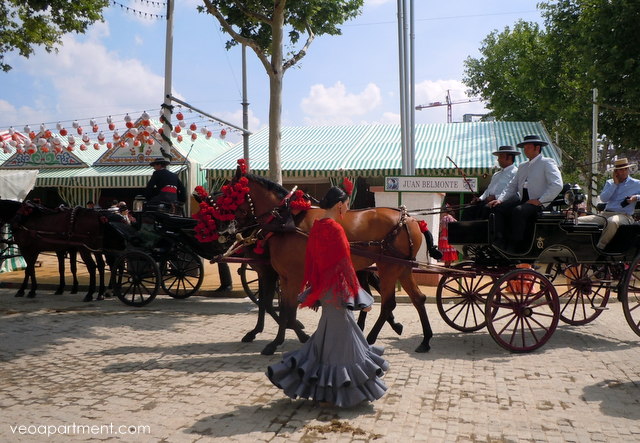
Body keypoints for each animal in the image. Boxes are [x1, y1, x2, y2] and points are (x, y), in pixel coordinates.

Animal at [208, 172, 438, 356]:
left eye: (229, 194)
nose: (223, 229)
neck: (286, 221)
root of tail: (410, 219)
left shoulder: (292, 275)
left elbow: (288, 309)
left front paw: (287, 339)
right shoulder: (282, 276)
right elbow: (282, 307)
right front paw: (279, 339)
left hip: (389, 267)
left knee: (388, 303)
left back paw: (371, 338)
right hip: (402, 267)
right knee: (418, 298)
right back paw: (425, 340)